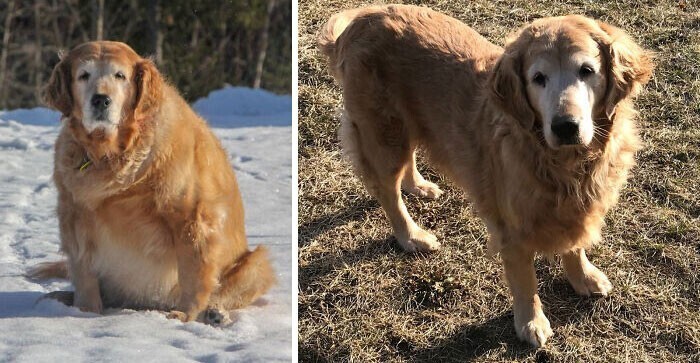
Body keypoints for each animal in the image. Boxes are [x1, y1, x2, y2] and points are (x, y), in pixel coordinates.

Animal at [30, 41, 276, 326]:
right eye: (83, 75)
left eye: (120, 75)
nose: (101, 99)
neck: (110, 155)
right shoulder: (75, 216)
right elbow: (83, 273)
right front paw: (84, 311)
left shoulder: (190, 218)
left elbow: (194, 273)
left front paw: (186, 315)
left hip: (255, 264)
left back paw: (216, 313)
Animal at [320, 4, 652, 346]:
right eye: (538, 78)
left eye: (587, 70)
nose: (565, 127)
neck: (562, 164)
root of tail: (362, 17)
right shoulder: (512, 230)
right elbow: (525, 282)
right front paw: (531, 322)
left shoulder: (575, 208)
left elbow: (574, 245)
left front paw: (583, 276)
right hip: (382, 133)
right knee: (388, 193)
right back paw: (411, 235)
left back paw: (418, 185)